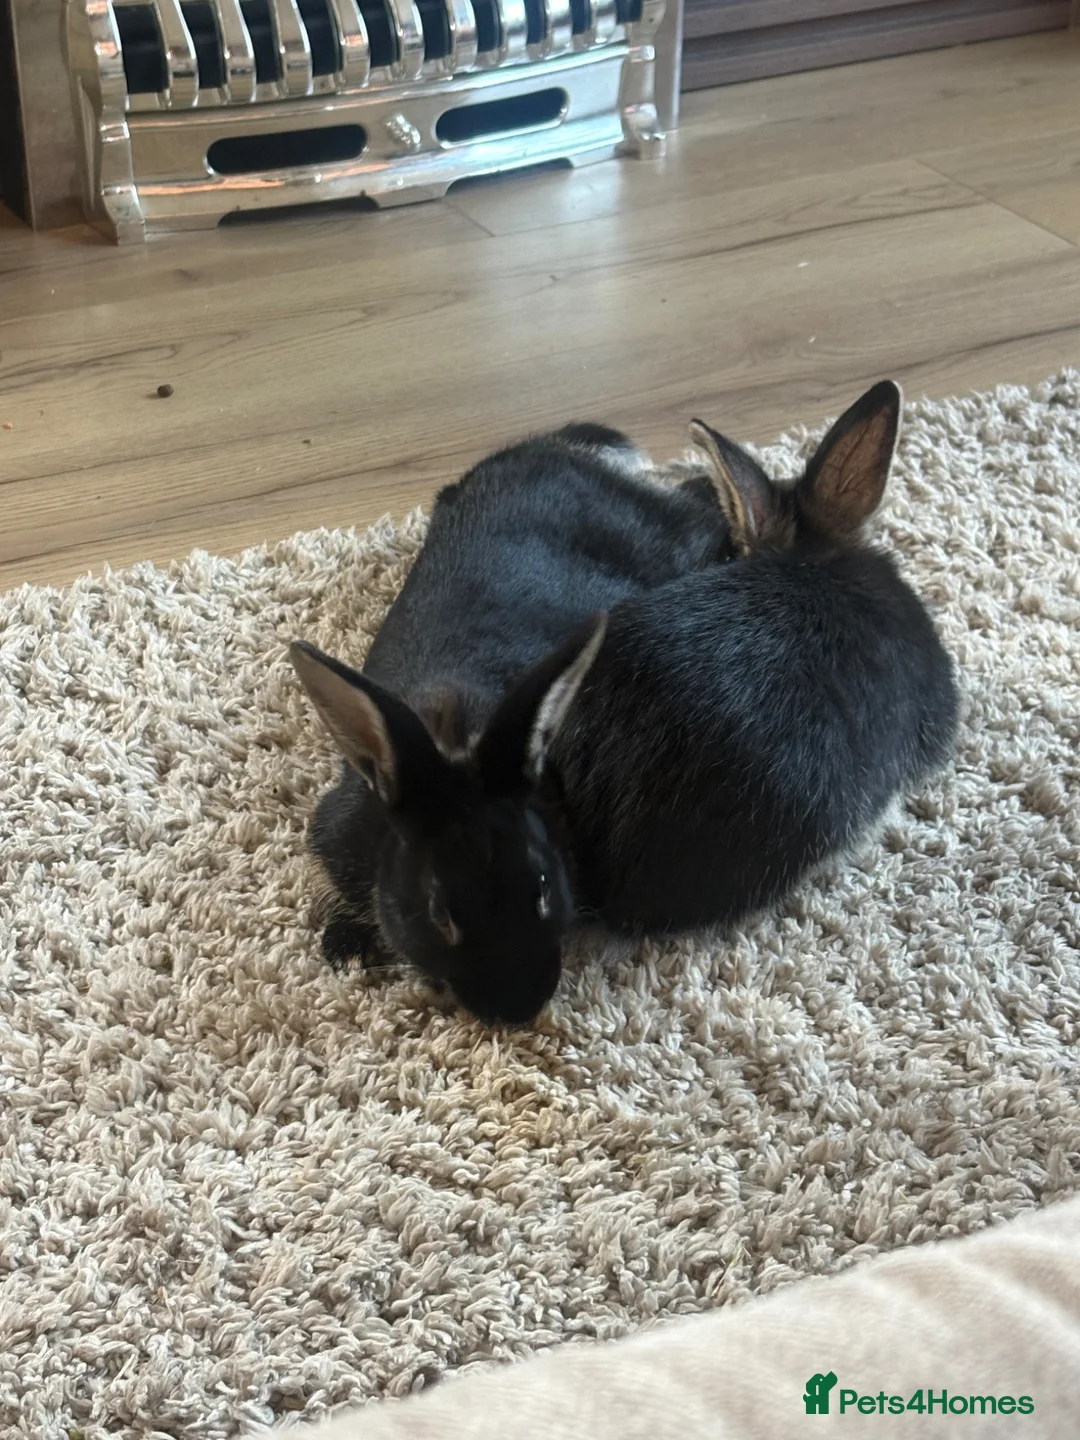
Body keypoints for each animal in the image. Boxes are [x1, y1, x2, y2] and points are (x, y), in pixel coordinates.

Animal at [289, 422, 732, 1024]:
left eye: (542, 885)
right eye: (439, 912)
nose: (518, 1008)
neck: (453, 731)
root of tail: (560, 451)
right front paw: (344, 948)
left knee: (700, 503)